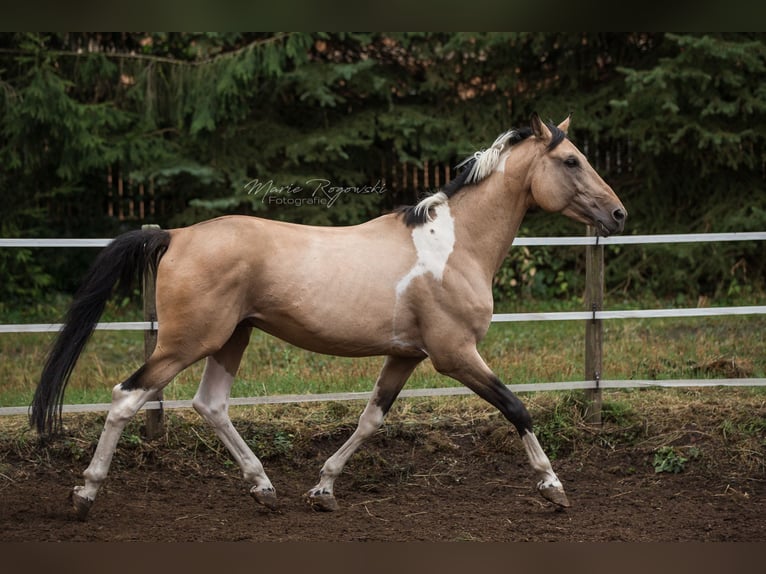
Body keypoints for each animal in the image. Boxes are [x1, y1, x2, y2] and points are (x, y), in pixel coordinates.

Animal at [30, 113, 626, 520]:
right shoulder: (455, 355)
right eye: (571, 161)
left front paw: (323, 489)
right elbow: (515, 407)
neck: (455, 247)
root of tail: (175, 235)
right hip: (185, 342)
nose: (618, 214)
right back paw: (84, 494)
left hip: (232, 337)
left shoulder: (405, 356)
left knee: (211, 404)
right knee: (126, 397)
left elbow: (370, 419)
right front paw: (553, 487)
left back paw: (264, 488)